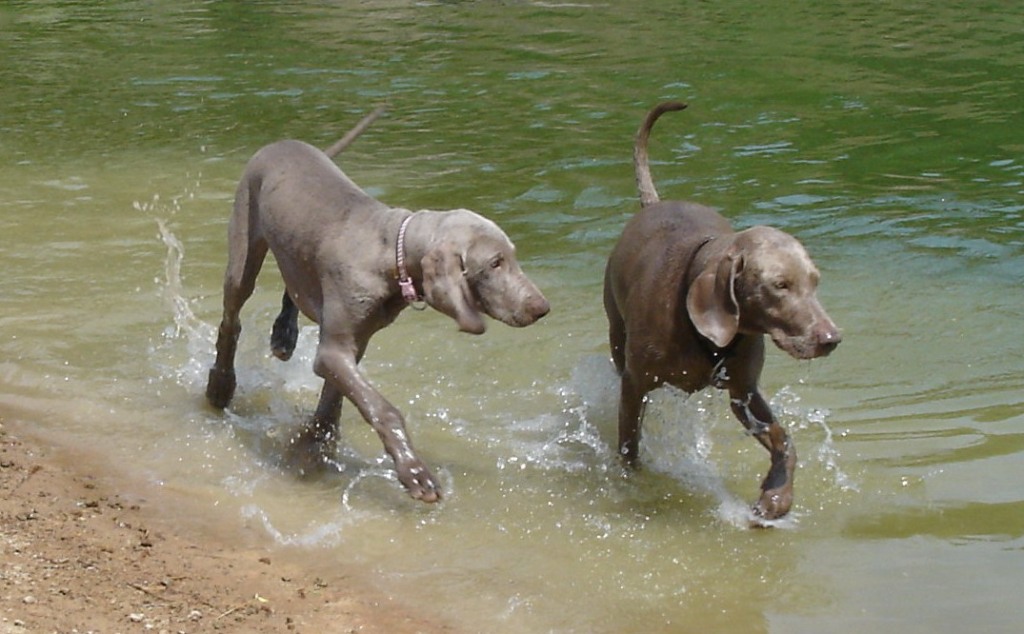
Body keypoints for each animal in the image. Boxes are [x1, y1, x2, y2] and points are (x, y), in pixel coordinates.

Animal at [206, 108, 550, 503]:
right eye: (494, 263)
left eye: (513, 256)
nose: (542, 307)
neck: (392, 252)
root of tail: (283, 143)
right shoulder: (333, 351)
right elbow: (382, 409)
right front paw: (414, 471)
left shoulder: (353, 345)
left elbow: (335, 401)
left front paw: (314, 446)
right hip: (244, 248)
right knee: (231, 319)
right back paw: (220, 386)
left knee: (292, 291)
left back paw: (284, 334)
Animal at [603, 102, 841, 521]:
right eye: (780, 285)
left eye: (814, 281)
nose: (831, 338)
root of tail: (656, 203)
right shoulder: (634, 384)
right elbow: (629, 447)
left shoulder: (742, 389)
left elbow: (784, 440)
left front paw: (776, 496)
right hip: (616, 333)